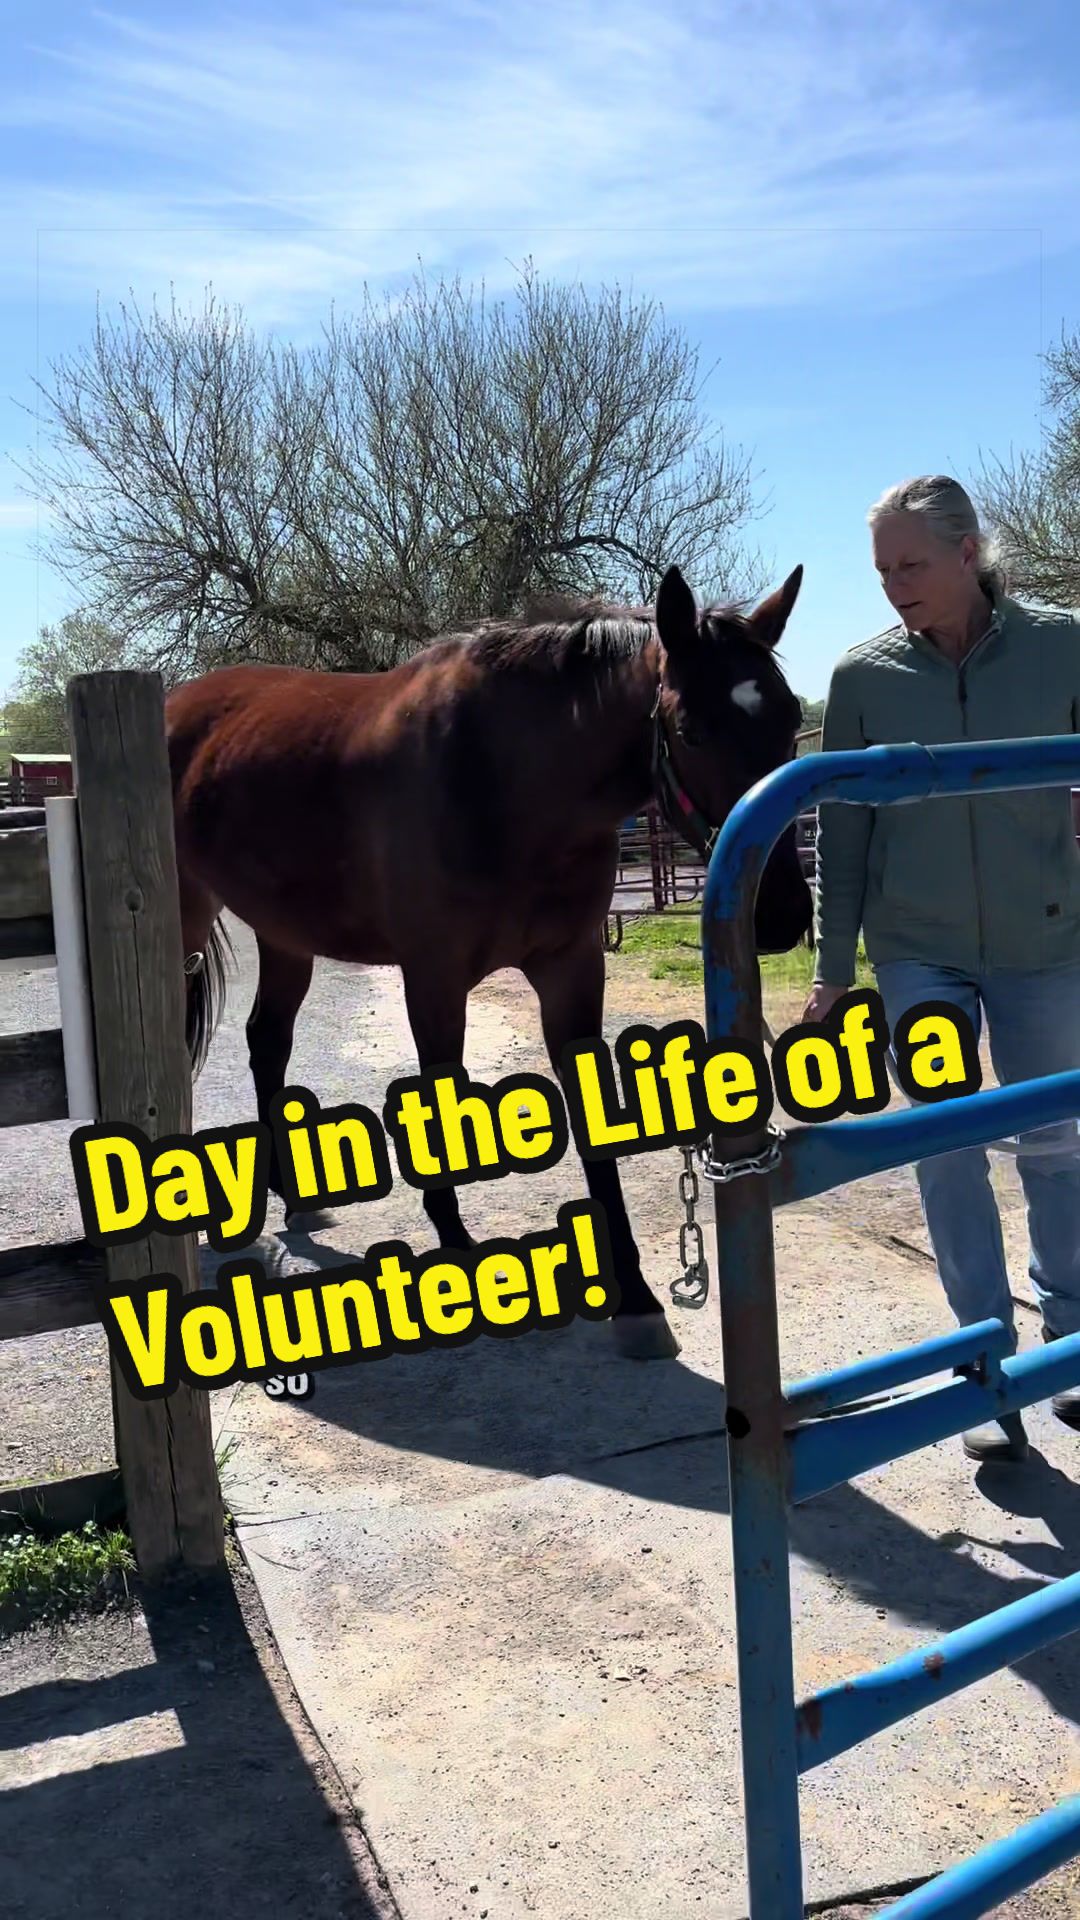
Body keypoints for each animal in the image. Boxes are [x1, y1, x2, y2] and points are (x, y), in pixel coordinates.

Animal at [165, 562, 813, 1362]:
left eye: (788, 718)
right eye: (692, 730)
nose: (779, 915)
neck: (499, 777)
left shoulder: (571, 970)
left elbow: (593, 1121)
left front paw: (635, 1297)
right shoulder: (434, 980)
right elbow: (441, 1103)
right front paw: (455, 1256)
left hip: (284, 934)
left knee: (267, 1042)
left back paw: (289, 1197)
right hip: (183, 923)